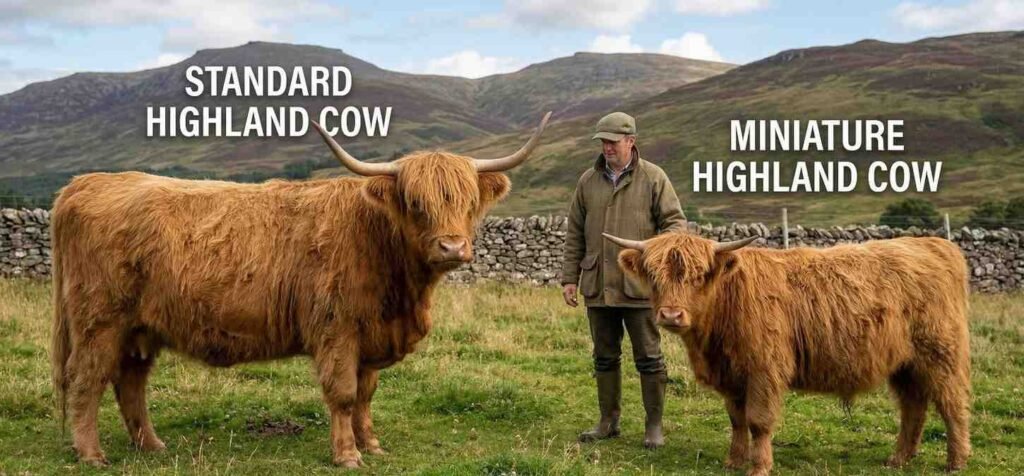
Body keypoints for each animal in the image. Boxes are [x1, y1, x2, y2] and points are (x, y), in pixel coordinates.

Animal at [50, 112, 550, 468]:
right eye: (415, 202)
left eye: (468, 201)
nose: (452, 247)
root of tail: (84, 183)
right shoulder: (336, 329)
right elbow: (343, 393)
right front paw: (347, 454)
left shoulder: (369, 336)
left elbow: (366, 393)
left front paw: (372, 444)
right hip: (100, 321)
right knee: (87, 380)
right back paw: (91, 453)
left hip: (140, 328)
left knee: (130, 381)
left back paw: (152, 445)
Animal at [602, 231, 970, 475]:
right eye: (653, 275)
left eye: (699, 275)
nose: (671, 315)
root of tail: (935, 243)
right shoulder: (732, 375)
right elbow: (737, 419)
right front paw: (734, 460)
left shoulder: (764, 370)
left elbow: (758, 421)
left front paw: (759, 467)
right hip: (905, 364)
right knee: (913, 407)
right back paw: (899, 459)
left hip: (940, 354)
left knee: (952, 405)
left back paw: (956, 461)